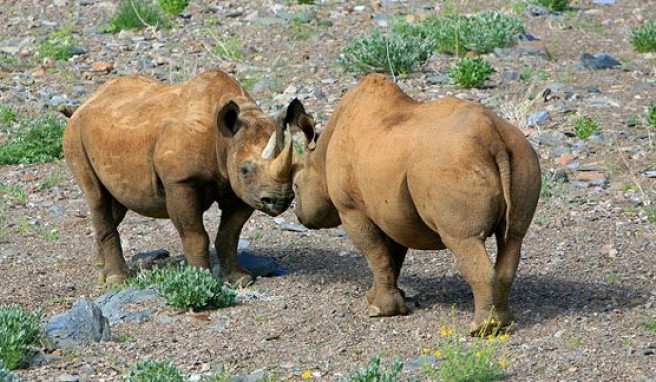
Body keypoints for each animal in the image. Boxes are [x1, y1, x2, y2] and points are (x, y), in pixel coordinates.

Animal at [62, 68, 314, 286]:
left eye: (296, 166)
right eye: (245, 170)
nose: (279, 199)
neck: (224, 139)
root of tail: (85, 103)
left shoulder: (242, 189)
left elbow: (229, 234)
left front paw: (240, 279)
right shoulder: (181, 182)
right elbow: (195, 235)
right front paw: (202, 280)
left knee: (116, 204)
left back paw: (100, 268)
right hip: (75, 135)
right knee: (96, 196)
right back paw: (117, 279)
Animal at [290, 73, 540, 332]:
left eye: (296, 186)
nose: (299, 215)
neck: (320, 154)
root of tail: (492, 136)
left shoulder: (350, 209)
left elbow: (375, 253)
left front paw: (380, 310)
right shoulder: (392, 212)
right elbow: (391, 257)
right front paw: (380, 299)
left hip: (451, 162)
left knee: (464, 239)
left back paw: (480, 329)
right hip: (523, 155)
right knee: (513, 238)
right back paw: (504, 323)